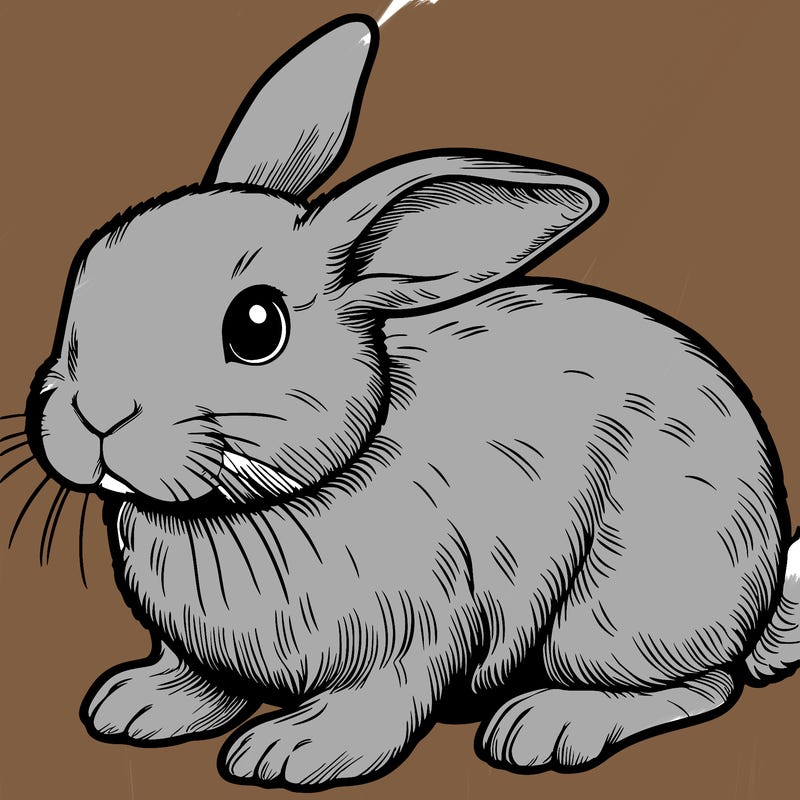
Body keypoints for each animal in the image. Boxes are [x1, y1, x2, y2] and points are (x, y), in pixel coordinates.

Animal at [21, 12, 800, 791]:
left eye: (256, 326)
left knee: (703, 684)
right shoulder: (202, 652)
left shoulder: (418, 630)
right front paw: (136, 705)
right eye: (88, 268)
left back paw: (547, 725)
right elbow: (201, 680)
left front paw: (293, 751)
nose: (95, 413)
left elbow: (381, 701)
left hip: (620, 611)